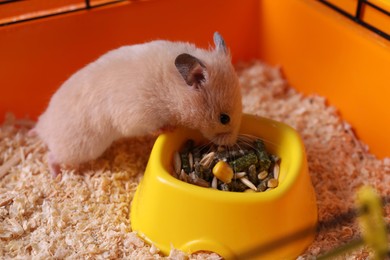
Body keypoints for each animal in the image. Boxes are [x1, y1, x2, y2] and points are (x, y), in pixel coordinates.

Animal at [34, 31, 241, 176]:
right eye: (224, 118)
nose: (231, 143)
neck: (173, 88)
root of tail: (42, 126)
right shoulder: (139, 116)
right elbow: (154, 128)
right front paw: (169, 128)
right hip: (81, 148)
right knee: (51, 155)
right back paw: (56, 174)